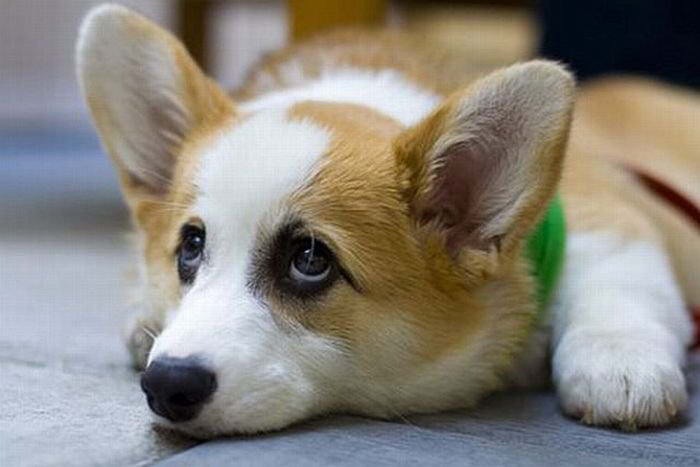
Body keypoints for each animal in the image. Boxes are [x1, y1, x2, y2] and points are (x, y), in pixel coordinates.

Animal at [76, 4, 699, 438]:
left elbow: (620, 278)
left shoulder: (605, 211)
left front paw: (620, 363)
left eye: (310, 259)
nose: (165, 385)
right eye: (190, 246)